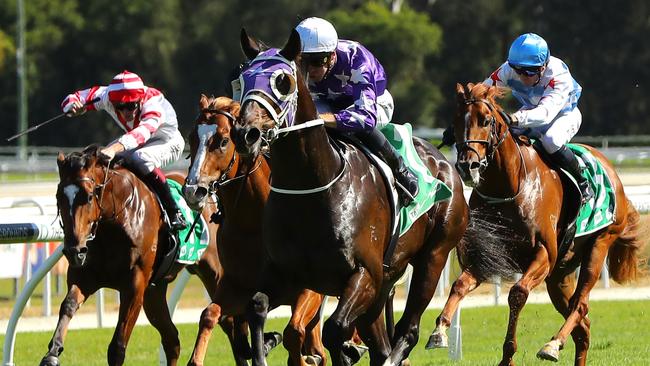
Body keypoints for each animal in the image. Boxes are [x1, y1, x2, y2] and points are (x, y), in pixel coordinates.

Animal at [41, 147, 237, 366]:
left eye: (89, 196)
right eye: (59, 197)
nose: (73, 250)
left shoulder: (135, 286)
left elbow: (117, 347)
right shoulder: (86, 276)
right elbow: (68, 305)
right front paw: (52, 353)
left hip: (214, 272)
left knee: (228, 321)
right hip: (155, 290)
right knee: (172, 339)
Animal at [180, 95, 330, 366]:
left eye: (223, 141)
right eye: (192, 137)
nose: (193, 190)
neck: (253, 222)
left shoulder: (308, 288)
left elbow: (293, 332)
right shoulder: (237, 285)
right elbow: (210, 314)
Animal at [230, 29, 468, 366]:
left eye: (282, 81)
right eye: (243, 78)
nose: (245, 134)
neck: (310, 189)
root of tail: (445, 162)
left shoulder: (363, 274)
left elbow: (335, 328)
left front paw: (343, 351)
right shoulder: (285, 273)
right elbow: (256, 308)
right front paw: (265, 347)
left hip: (433, 255)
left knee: (407, 332)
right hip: (385, 282)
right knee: (381, 343)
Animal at [426, 83, 644, 366]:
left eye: (485, 120)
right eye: (455, 121)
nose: (467, 165)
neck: (510, 185)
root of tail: (613, 172)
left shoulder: (544, 254)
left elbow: (517, 293)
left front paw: (508, 355)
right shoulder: (485, 256)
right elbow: (459, 285)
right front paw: (439, 331)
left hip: (599, 244)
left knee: (581, 304)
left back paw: (552, 344)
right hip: (559, 275)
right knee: (583, 327)